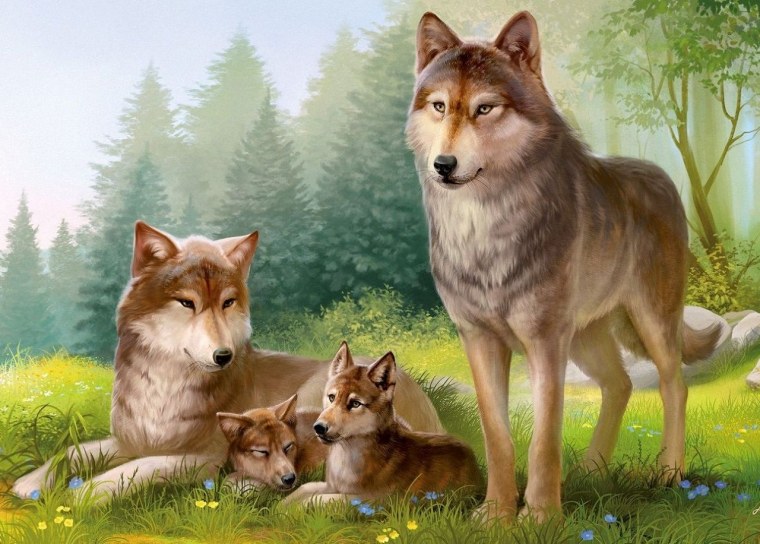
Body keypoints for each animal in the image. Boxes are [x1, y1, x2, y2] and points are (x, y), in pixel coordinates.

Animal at [12, 222, 442, 501]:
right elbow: (73, 452)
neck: (165, 385)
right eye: (187, 303)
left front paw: (85, 494)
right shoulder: (130, 440)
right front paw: (31, 482)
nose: (224, 356)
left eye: (227, 303)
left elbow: (138, 468)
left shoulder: (203, 457)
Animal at [284, 342, 482, 505]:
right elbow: (303, 490)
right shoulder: (331, 486)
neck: (347, 454)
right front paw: (281, 508)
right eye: (331, 397)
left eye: (355, 404)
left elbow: (315, 500)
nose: (318, 427)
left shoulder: (371, 499)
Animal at [405, 11, 720, 520]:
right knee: (621, 385)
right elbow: (498, 438)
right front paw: (496, 515)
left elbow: (544, 440)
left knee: (674, 385)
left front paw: (540, 517)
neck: (484, 230)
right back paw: (590, 471)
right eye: (439, 106)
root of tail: (663, 178)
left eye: (485, 109)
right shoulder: (478, 339)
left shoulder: (545, 341)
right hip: (587, 339)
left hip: (649, 322)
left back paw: (669, 473)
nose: (443, 165)